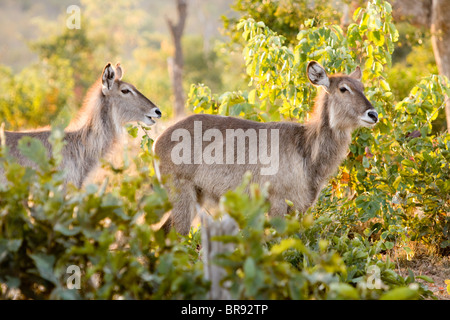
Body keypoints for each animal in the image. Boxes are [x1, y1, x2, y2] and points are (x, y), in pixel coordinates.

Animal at [153, 60, 378, 235]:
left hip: (196, 196)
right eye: (343, 88)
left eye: (362, 87)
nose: (373, 114)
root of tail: (158, 141)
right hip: (181, 193)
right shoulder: (277, 202)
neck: (306, 148)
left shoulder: (302, 207)